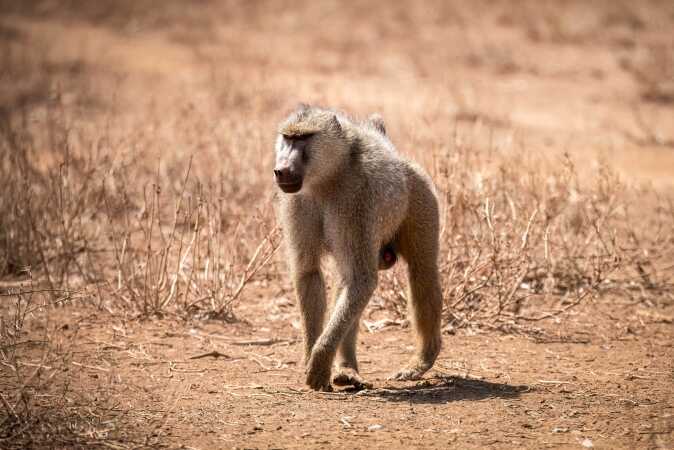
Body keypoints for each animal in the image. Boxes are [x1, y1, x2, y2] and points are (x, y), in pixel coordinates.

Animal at [274, 104, 442, 391]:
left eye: (303, 138)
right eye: (288, 138)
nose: (281, 170)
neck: (328, 177)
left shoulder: (357, 198)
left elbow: (362, 279)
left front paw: (319, 360)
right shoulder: (297, 201)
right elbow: (309, 273)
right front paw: (311, 355)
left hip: (420, 194)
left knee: (422, 271)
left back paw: (421, 361)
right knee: (346, 280)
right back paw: (347, 370)